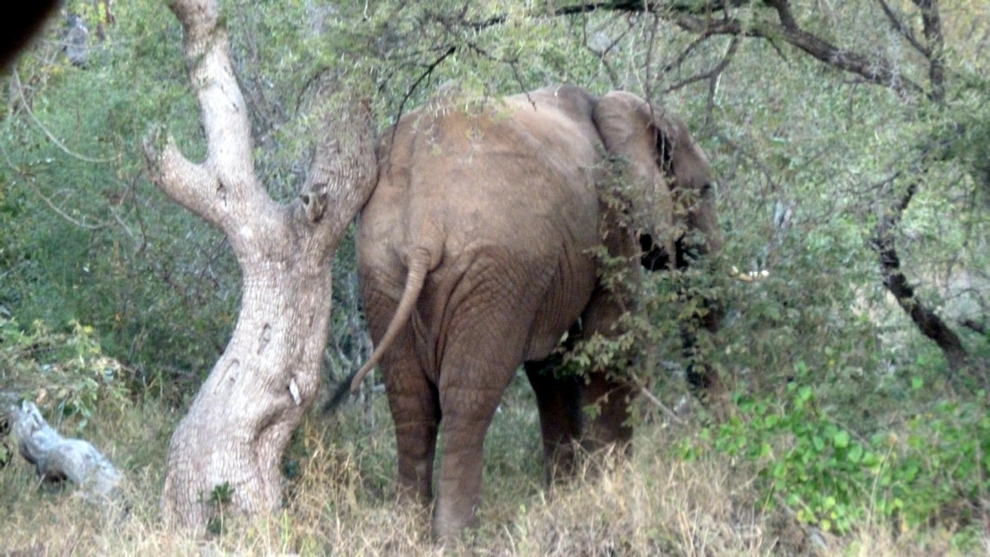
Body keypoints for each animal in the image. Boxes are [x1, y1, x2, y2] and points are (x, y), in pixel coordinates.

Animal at [352, 83, 724, 540]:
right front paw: (608, 486)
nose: (717, 435)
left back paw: (408, 526)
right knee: (468, 396)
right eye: (706, 189)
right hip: (493, 267)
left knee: (410, 401)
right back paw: (457, 535)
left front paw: (568, 490)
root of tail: (423, 225)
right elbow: (611, 341)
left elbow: (553, 364)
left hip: (382, 268)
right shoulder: (611, 217)